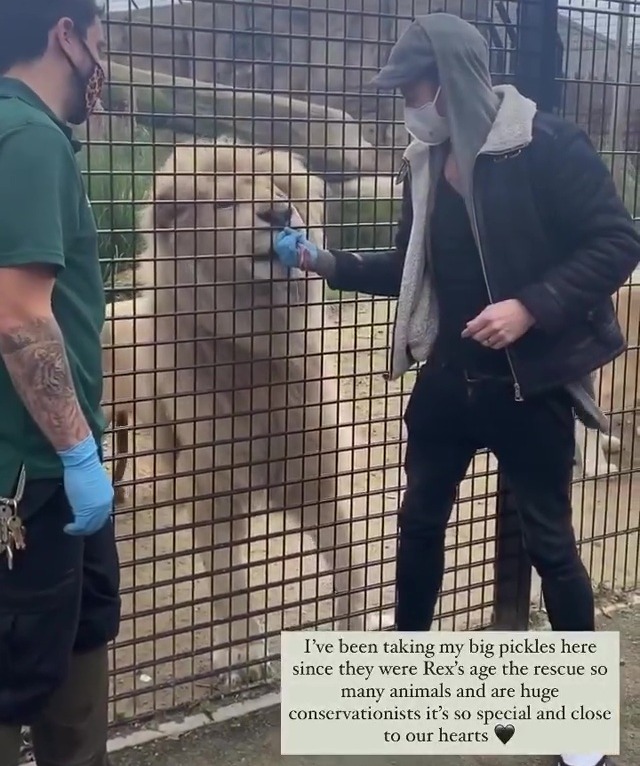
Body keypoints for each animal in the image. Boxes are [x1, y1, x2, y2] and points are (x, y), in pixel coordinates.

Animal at [133, 144, 376, 684]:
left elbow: (349, 558)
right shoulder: (212, 486)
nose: (280, 214)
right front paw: (238, 658)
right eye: (225, 203)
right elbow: (229, 582)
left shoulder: (314, 472)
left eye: (281, 191)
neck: (254, 344)